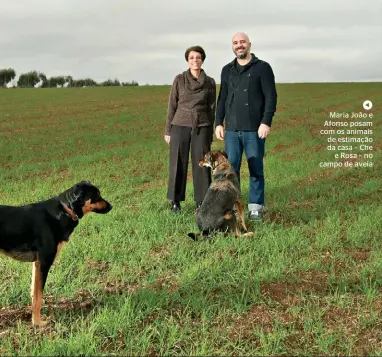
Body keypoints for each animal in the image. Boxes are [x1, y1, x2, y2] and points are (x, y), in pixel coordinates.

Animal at [0, 181, 112, 326]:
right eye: (96, 195)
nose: (111, 206)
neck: (64, 210)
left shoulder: (36, 264)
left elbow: (34, 293)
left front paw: (34, 319)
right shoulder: (44, 262)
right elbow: (38, 297)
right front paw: (37, 323)